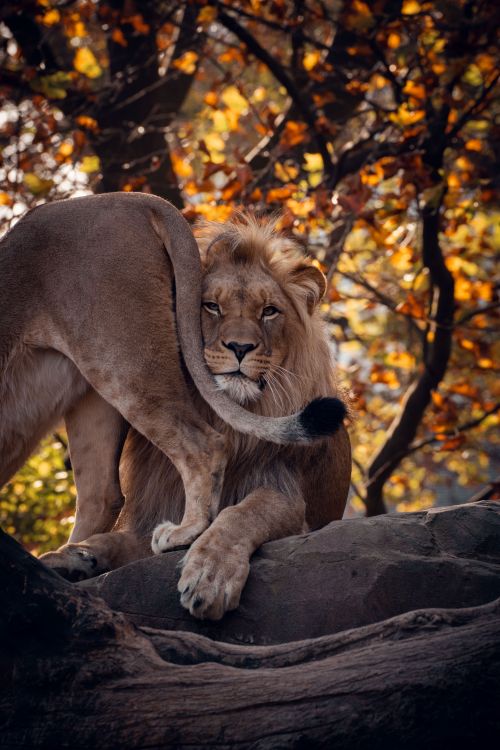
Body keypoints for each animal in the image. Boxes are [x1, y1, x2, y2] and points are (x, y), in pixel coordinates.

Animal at [0, 193, 350, 620]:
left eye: (269, 311)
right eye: (211, 306)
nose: (240, 347)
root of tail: (138, 200)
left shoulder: (287, 493)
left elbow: (241, 515)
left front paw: (209, 577)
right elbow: (126, 539)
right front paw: (78, 557)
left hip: (117, 358)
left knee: (200, 447)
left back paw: (183, 533)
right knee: (102, 494)